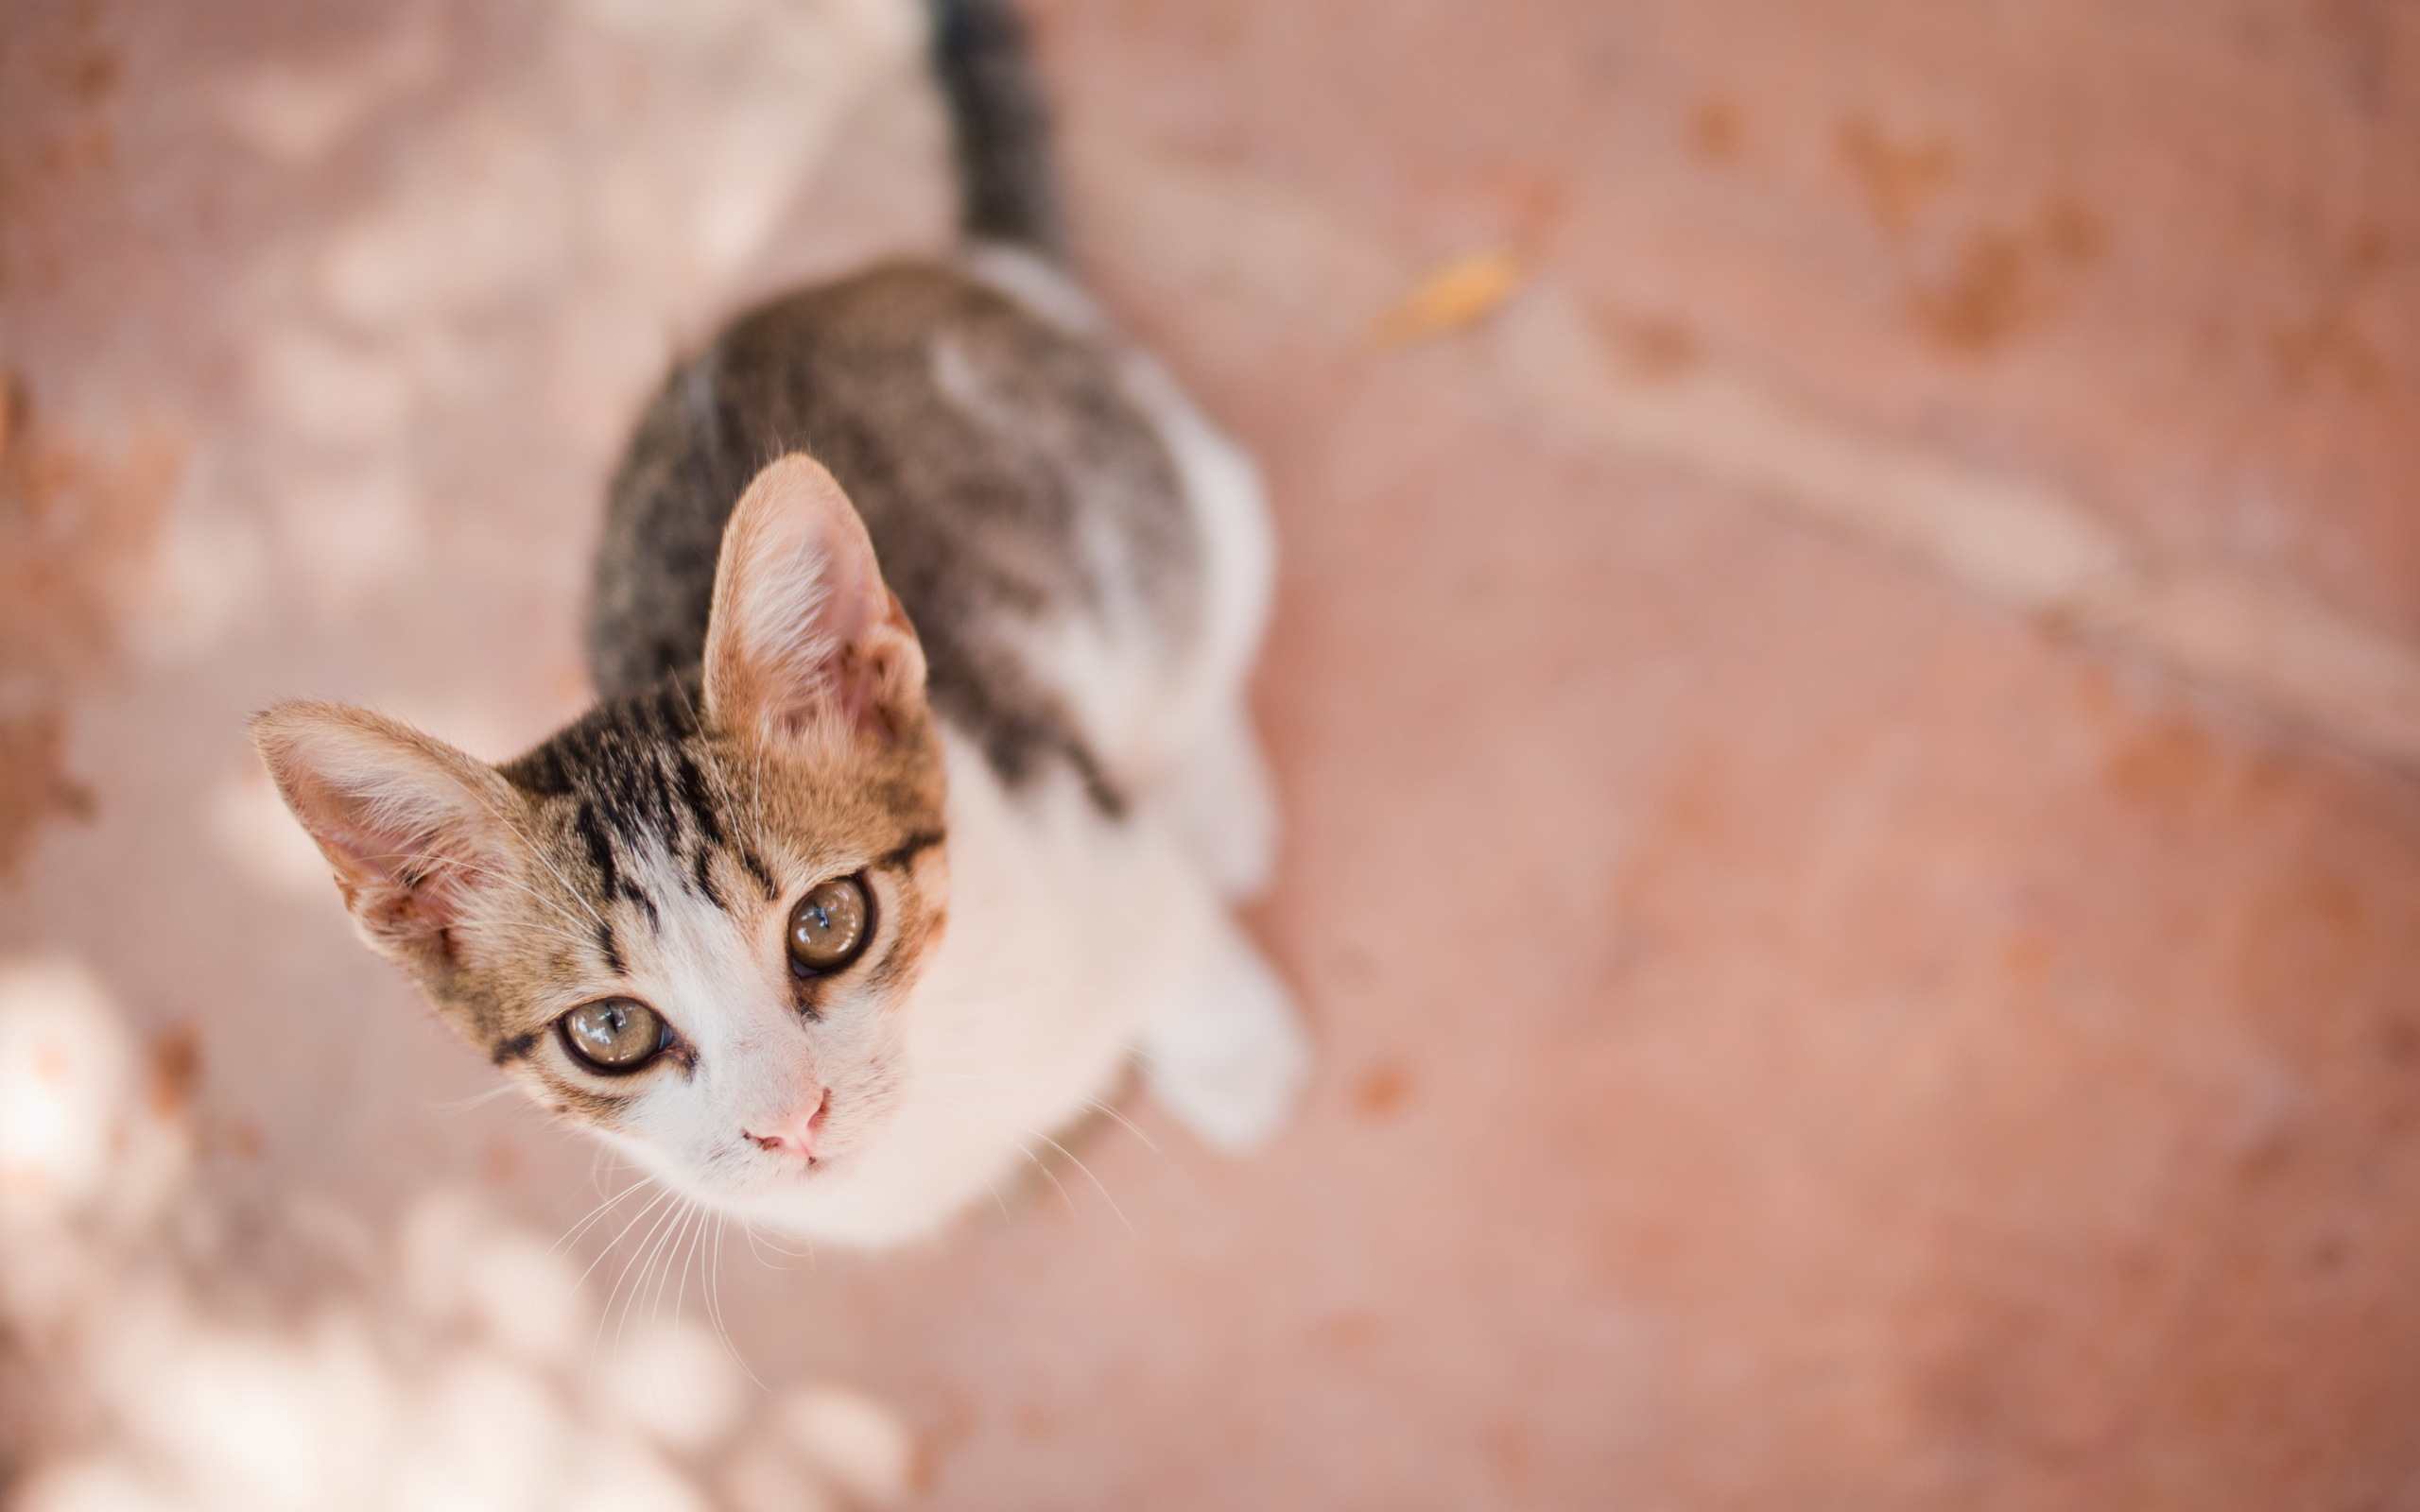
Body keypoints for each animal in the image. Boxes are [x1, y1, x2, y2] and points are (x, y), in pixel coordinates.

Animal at [252, 0, 1306, 1247]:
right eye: (611, 1031)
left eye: (826, 922)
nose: (790, 1122)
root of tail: (961, 269)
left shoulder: (1074, 822)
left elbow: (1171, 928)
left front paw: (1235, 1050)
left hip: (1171, 506)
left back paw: (1211, 790)